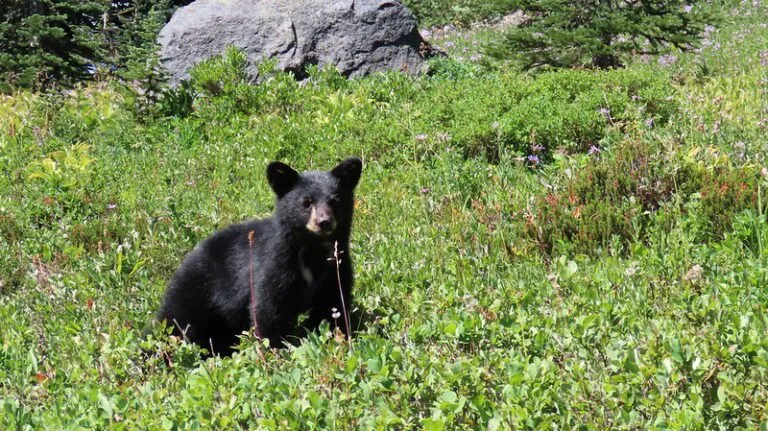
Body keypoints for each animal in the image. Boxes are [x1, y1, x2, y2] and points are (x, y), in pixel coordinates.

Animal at [157, 157, 363, 355]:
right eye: (306, 202)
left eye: (335, 201)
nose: (324, 222)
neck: (312, 249)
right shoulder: (275, 264)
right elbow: (269, 307)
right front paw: (276, 350)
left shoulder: (336, 266)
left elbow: (332, 303)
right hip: (194, 292)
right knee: (173, 324)